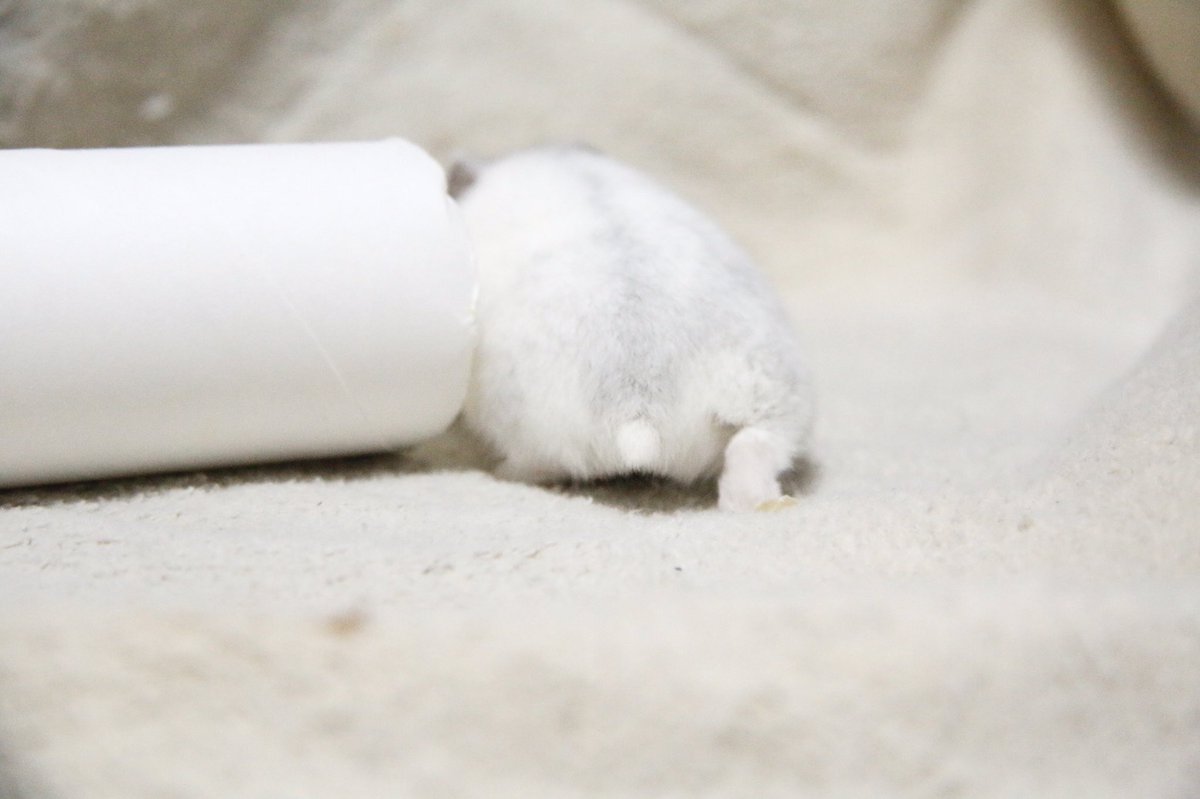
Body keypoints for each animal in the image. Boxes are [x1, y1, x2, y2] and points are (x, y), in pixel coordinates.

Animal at [449, 145, 815, 511]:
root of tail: (641, 411)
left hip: (532, 436)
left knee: (539, 466)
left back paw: (502, 472)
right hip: (771, 399)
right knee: (753, 448)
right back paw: (767, 503)